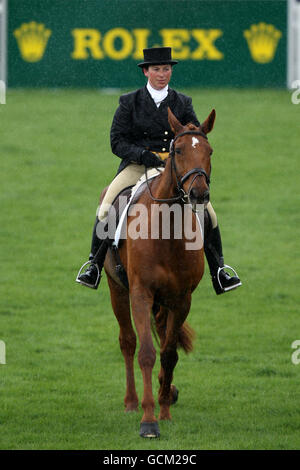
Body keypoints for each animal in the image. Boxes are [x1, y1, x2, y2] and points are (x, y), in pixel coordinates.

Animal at [103, 107, 216, 436]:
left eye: (209, 151)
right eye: (178, 151)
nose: (199, 193)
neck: (167, 231)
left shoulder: (181, 299)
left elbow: (169, 353)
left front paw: (164, 410)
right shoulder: (140, 294)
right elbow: (146, 353)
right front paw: (148, 421)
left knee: (163, 339)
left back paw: (167, 391)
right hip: (117, 289)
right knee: (127, 342)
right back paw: (131, 402)